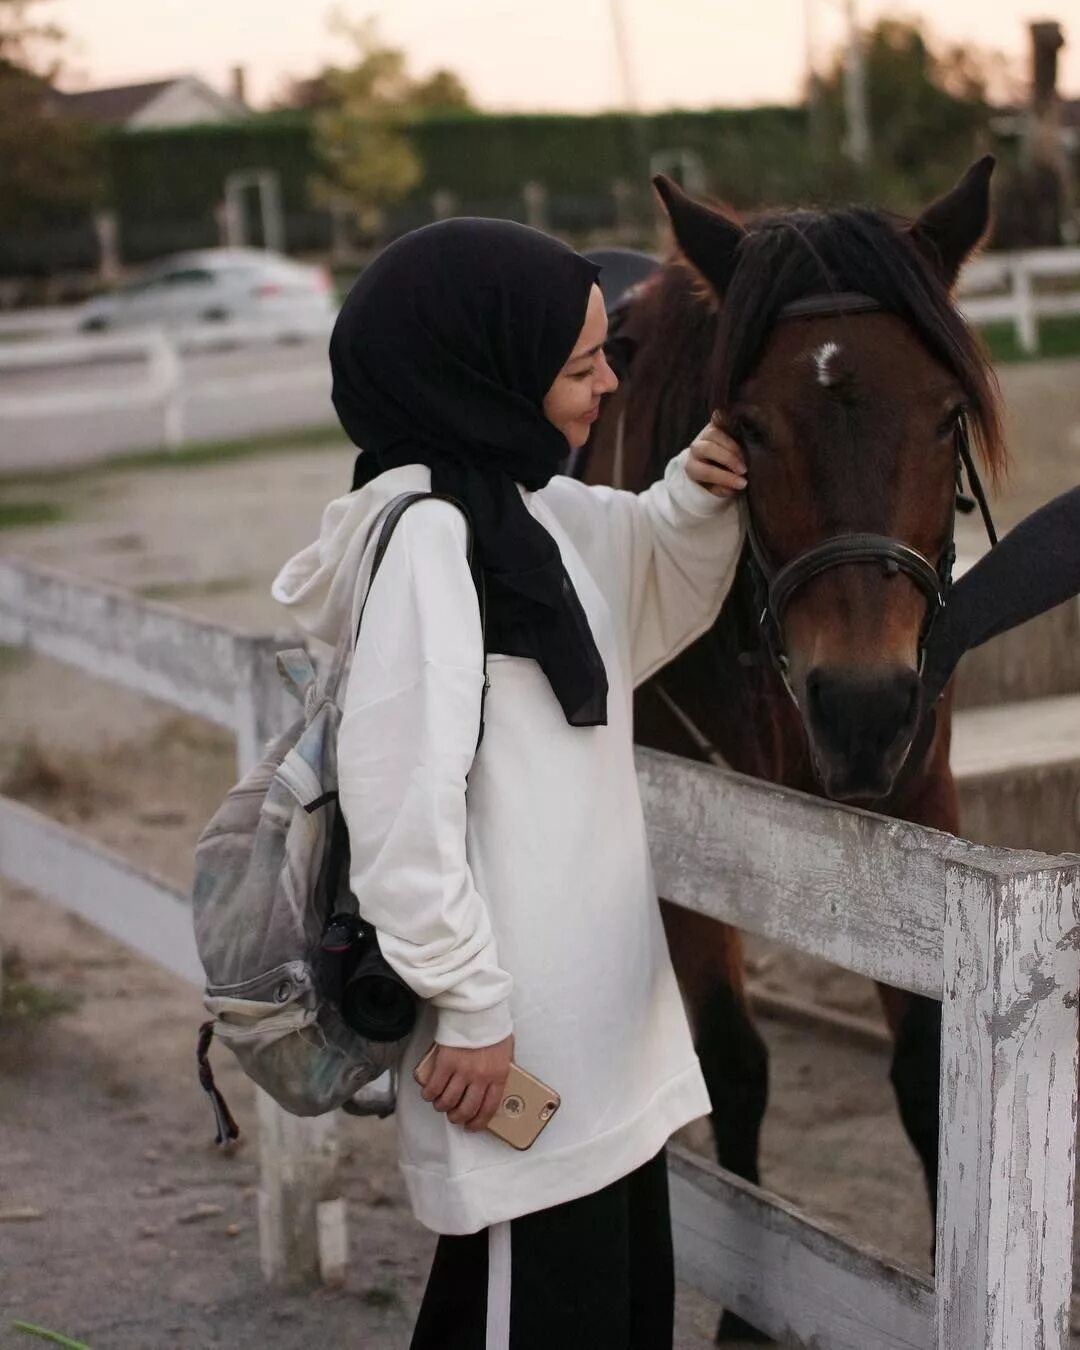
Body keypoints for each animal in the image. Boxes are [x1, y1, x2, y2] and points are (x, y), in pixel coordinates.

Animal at [583, 155, 1004, 1339]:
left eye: (947, 417)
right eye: (751, 428)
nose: (861, 704)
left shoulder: (918, 804)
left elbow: (923, 1069)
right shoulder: (685, 833)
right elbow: (732, 1060)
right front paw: (743, 1314)